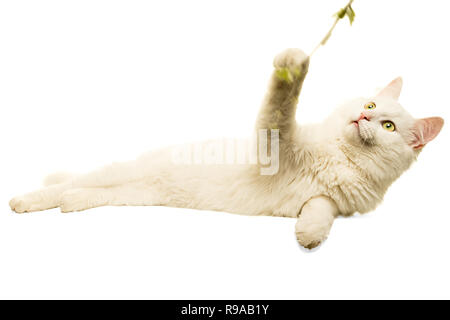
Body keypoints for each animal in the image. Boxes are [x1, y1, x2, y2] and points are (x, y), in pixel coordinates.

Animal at [9, 49, 442, 250]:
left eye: (388, 126)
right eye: (370, 104)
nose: (364, 117)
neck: (340, 157)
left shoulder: (334, 202)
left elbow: (320, 212)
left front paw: (308, 236)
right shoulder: (275, 144)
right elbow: (280, 105)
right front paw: (295, 63)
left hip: (132, 193)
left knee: (81, 192)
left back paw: (68, 203)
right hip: (120, 174)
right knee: (64, 184)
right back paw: (23, 202)